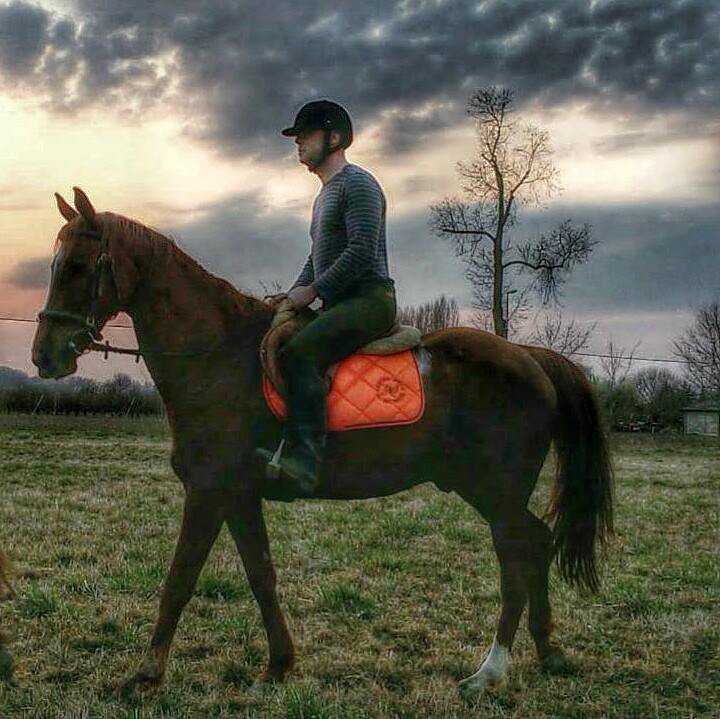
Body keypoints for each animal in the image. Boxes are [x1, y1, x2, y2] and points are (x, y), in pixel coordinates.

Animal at [31, 187, 613, 700]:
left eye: (78, 265)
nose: (44, 356)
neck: (219, 356)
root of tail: (531, 357)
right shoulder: (237, 495)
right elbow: (261, 574)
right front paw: (278, 665)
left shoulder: (208, 491)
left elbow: (180, 579)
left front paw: (146, 675)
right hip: (492, 492)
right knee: (536, 544)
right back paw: (546, 651)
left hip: (495, 491)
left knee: (519, 555)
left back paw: (489, 671)